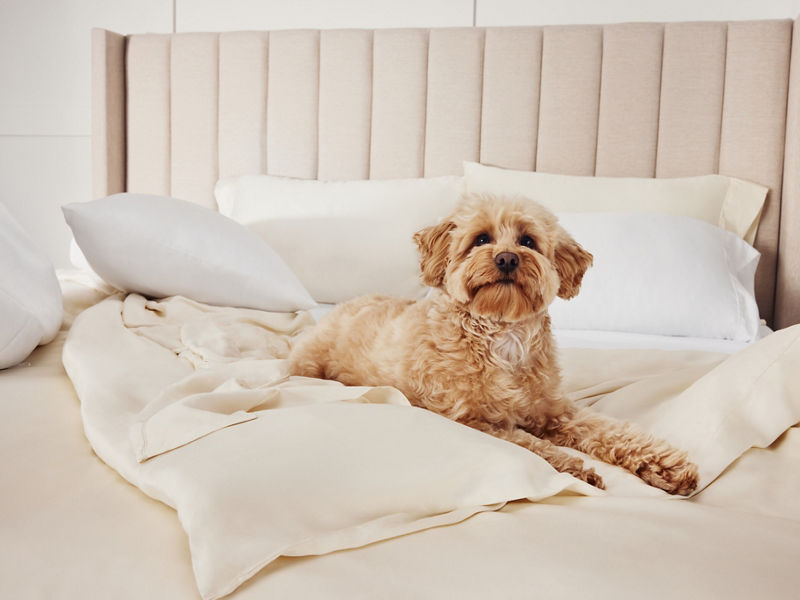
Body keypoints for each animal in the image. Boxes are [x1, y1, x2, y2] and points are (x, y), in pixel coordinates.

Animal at [290, 195, 700, 494]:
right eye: (481, 239)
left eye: (528, 241)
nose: (506, 258)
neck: (500, 335)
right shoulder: (469, 421)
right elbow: (528, 444)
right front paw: (575, 469)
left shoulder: (557, 411)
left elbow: (610, 430)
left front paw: (667, 465)